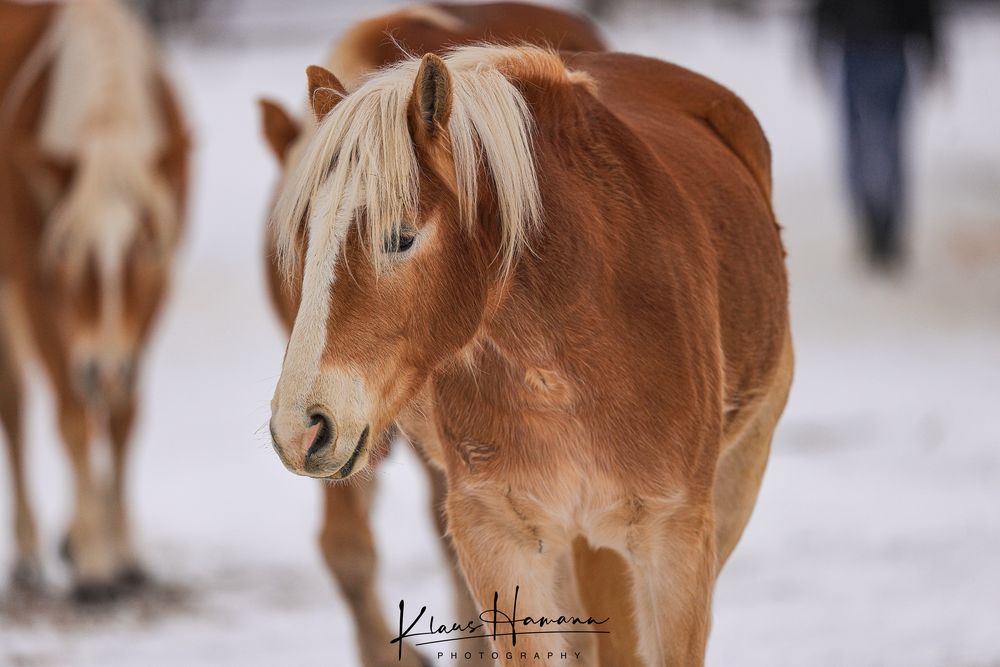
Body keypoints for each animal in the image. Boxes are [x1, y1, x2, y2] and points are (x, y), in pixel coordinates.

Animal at [0, 0, 189, 604]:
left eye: (143, 249)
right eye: (67, 252)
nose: (103, 364)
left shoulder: (156, 290)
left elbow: (123, 414)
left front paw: (122, 551)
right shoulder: (37, 289)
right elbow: (73, 418)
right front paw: (94, 568)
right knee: (18, 405)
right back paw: (31, 553)